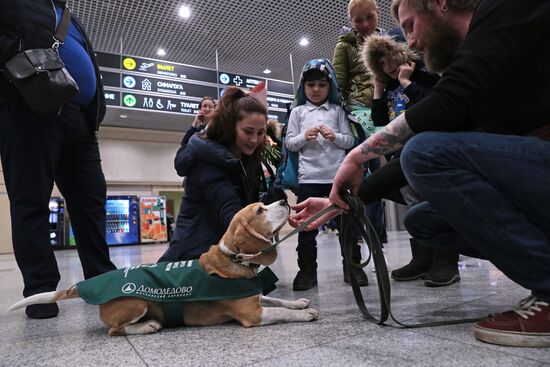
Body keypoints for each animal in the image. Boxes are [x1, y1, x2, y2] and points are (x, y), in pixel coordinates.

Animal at [8, 201, 320, 336]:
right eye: (259, 210)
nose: (284, 199)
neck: (234, 259)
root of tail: (85, 284)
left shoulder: (254, 296)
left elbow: (276, 300)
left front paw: (299, 303)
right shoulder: (251, 314)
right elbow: (278, 311)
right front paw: (303, 314)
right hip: (136, 303)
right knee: (116, 331)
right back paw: (147, 326)